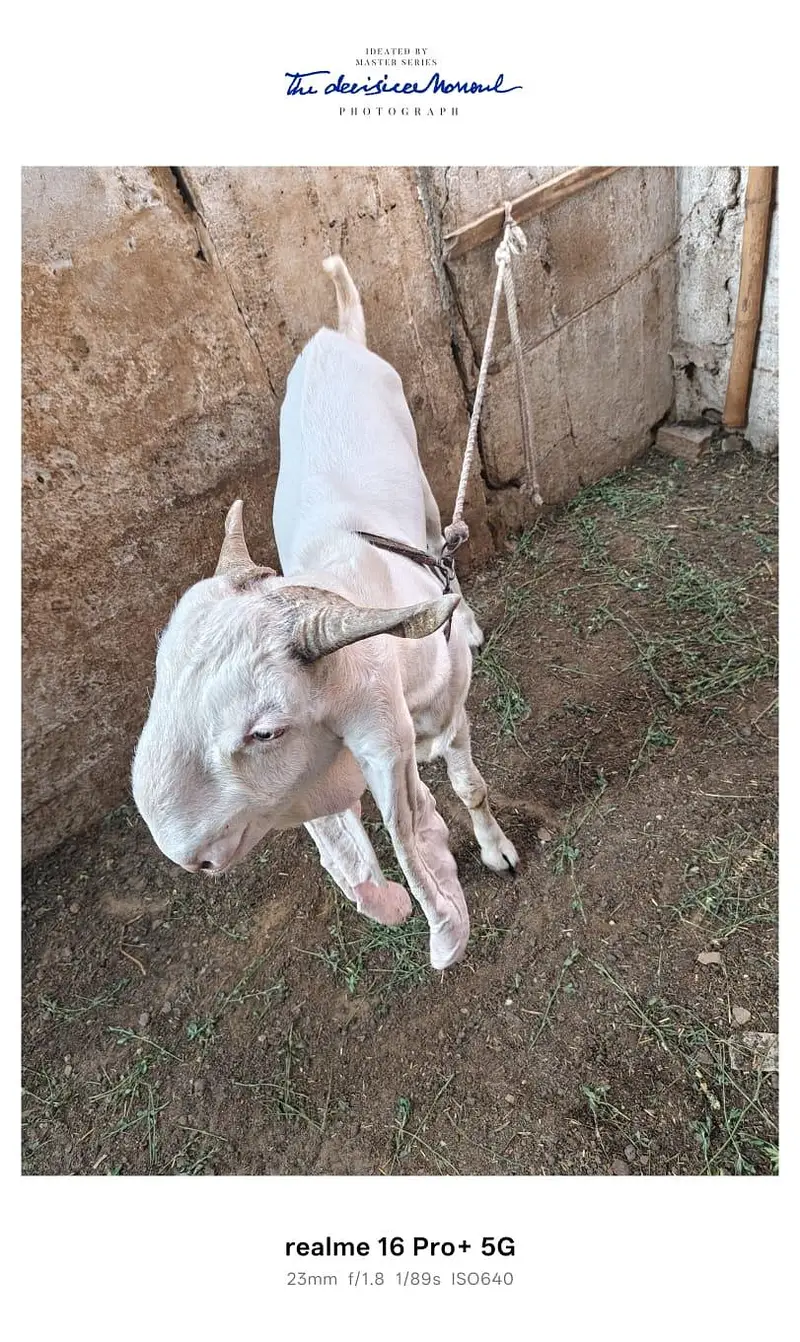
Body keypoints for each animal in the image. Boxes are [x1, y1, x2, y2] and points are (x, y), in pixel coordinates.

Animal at [132, 256, 518, 969]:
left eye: (266, 732)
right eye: (160, 677)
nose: (185, 855)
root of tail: (335, 336)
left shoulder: (446, 711)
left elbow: (470, 786)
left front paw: (496, 848)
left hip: (421, 472)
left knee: (442, 536)